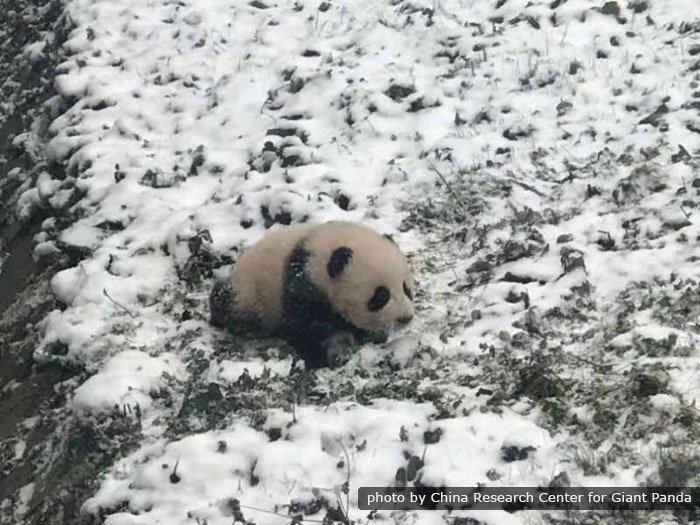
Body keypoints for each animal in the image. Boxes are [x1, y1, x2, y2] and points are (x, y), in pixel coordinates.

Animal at [210, 221, 415, 368]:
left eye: (406, 288)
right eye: (380, 296)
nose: (405, 318)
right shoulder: (302, 282)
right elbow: (303, 326)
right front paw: (320, 358)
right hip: (249, 294)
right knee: (231, 306)